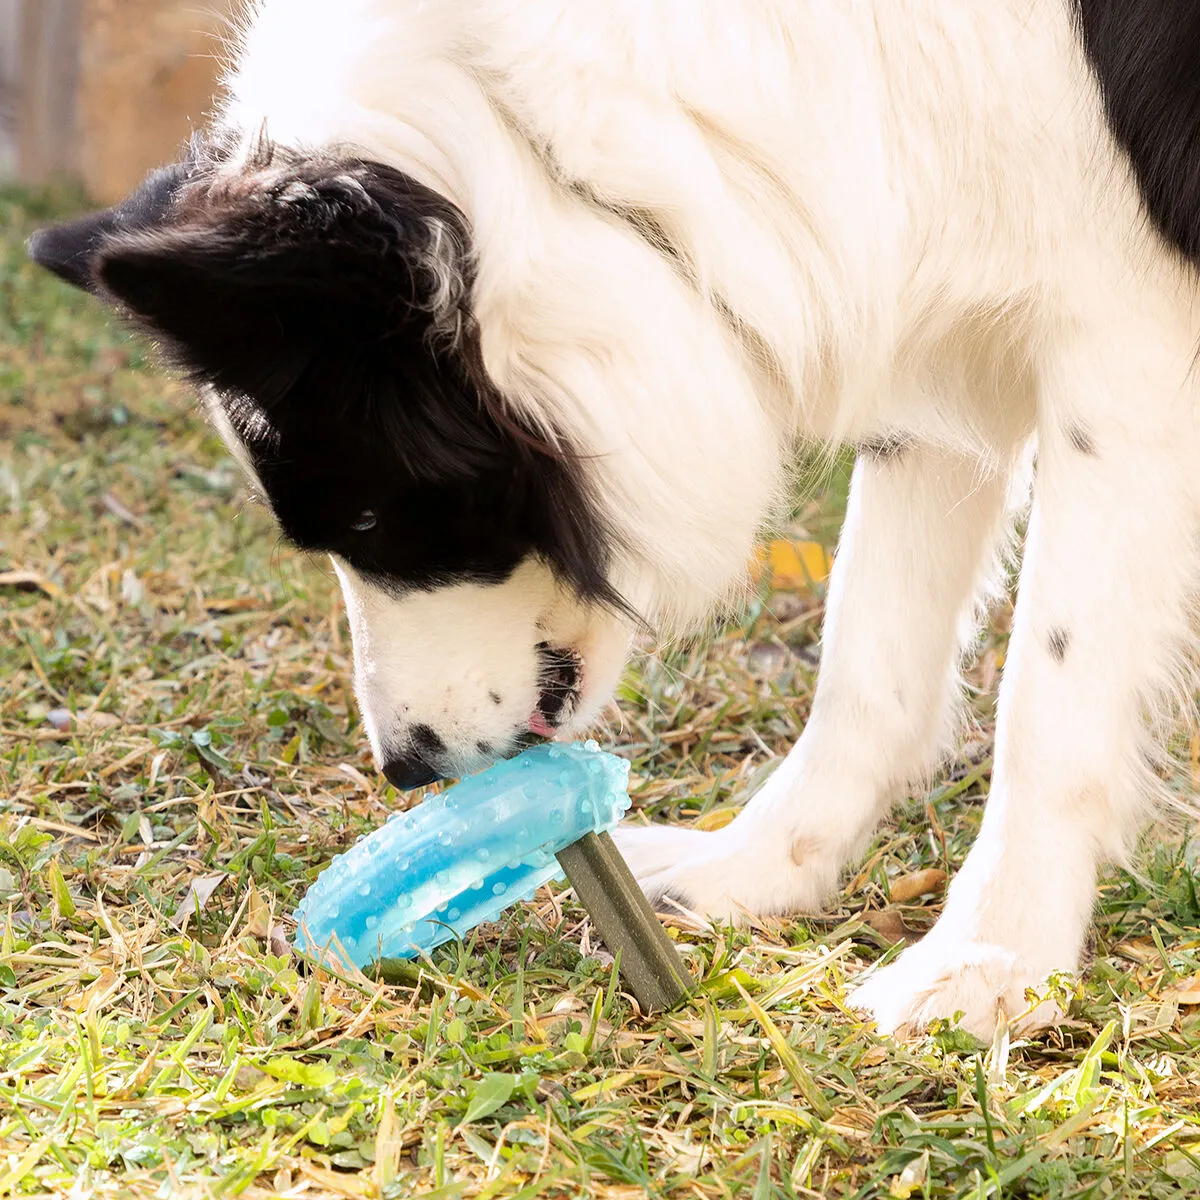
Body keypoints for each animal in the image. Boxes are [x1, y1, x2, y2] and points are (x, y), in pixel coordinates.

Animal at [28, 0, 1200, 1036]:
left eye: (365, 521)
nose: (406, 769)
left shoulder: (1126, 335)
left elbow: (1051, 695)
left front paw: (994, 956)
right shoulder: (921, 270)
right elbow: (869, 653)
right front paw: (762, 867)